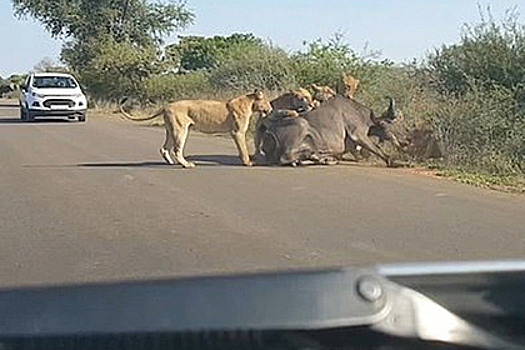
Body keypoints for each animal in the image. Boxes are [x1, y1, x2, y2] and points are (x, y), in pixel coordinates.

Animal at [118, 89, 270, 167]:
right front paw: (248, 162)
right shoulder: (237, 132)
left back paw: (171, 162)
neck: (250, 103)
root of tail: (166, 105)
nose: (271, 108)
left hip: (170, 130)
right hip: (180, 129)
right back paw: (186, 164)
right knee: (176, 150)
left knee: (164, 148)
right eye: (267, 102)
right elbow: (243, 149)